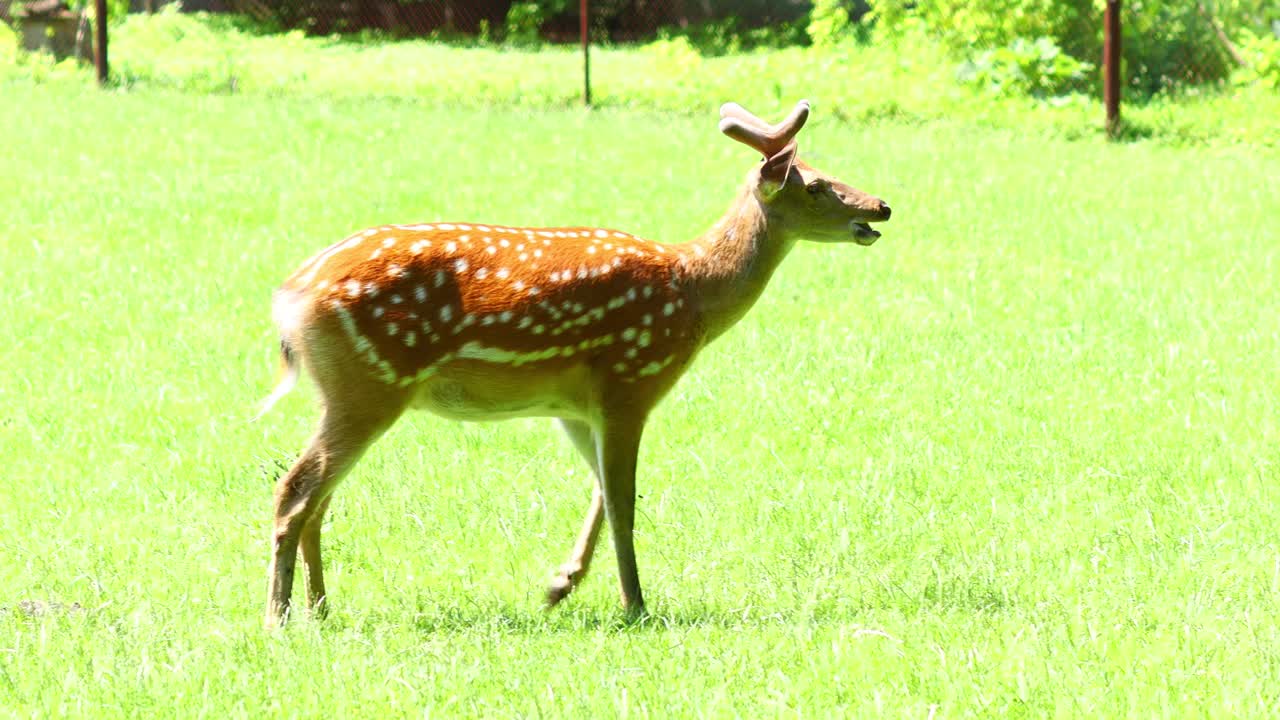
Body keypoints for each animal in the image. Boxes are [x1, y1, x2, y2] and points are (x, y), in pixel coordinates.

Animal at [258, 98, 890, 625]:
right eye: (816, 184)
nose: (882, 205)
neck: (692, 293)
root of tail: (290, 298)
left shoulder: (574, 407)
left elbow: (603, 496)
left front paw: (560, 585)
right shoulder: (630, 382)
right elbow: (624, 503)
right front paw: (635, 605)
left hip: (348, 390)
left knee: (320, 497)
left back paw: (320, 607)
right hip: (371, 381)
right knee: (295, 490)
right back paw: (278, 616)